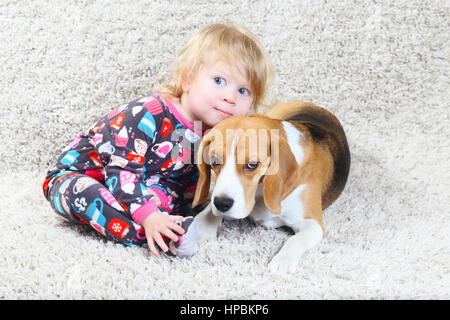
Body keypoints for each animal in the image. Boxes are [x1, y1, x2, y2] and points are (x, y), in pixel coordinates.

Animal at [192, 101, 350, 274]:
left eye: (252, 165)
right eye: (214, 161)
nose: (222, 203)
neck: (260, 192)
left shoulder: (313, 224)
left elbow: (296, 240)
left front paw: (282, 261)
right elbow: (206, 215)